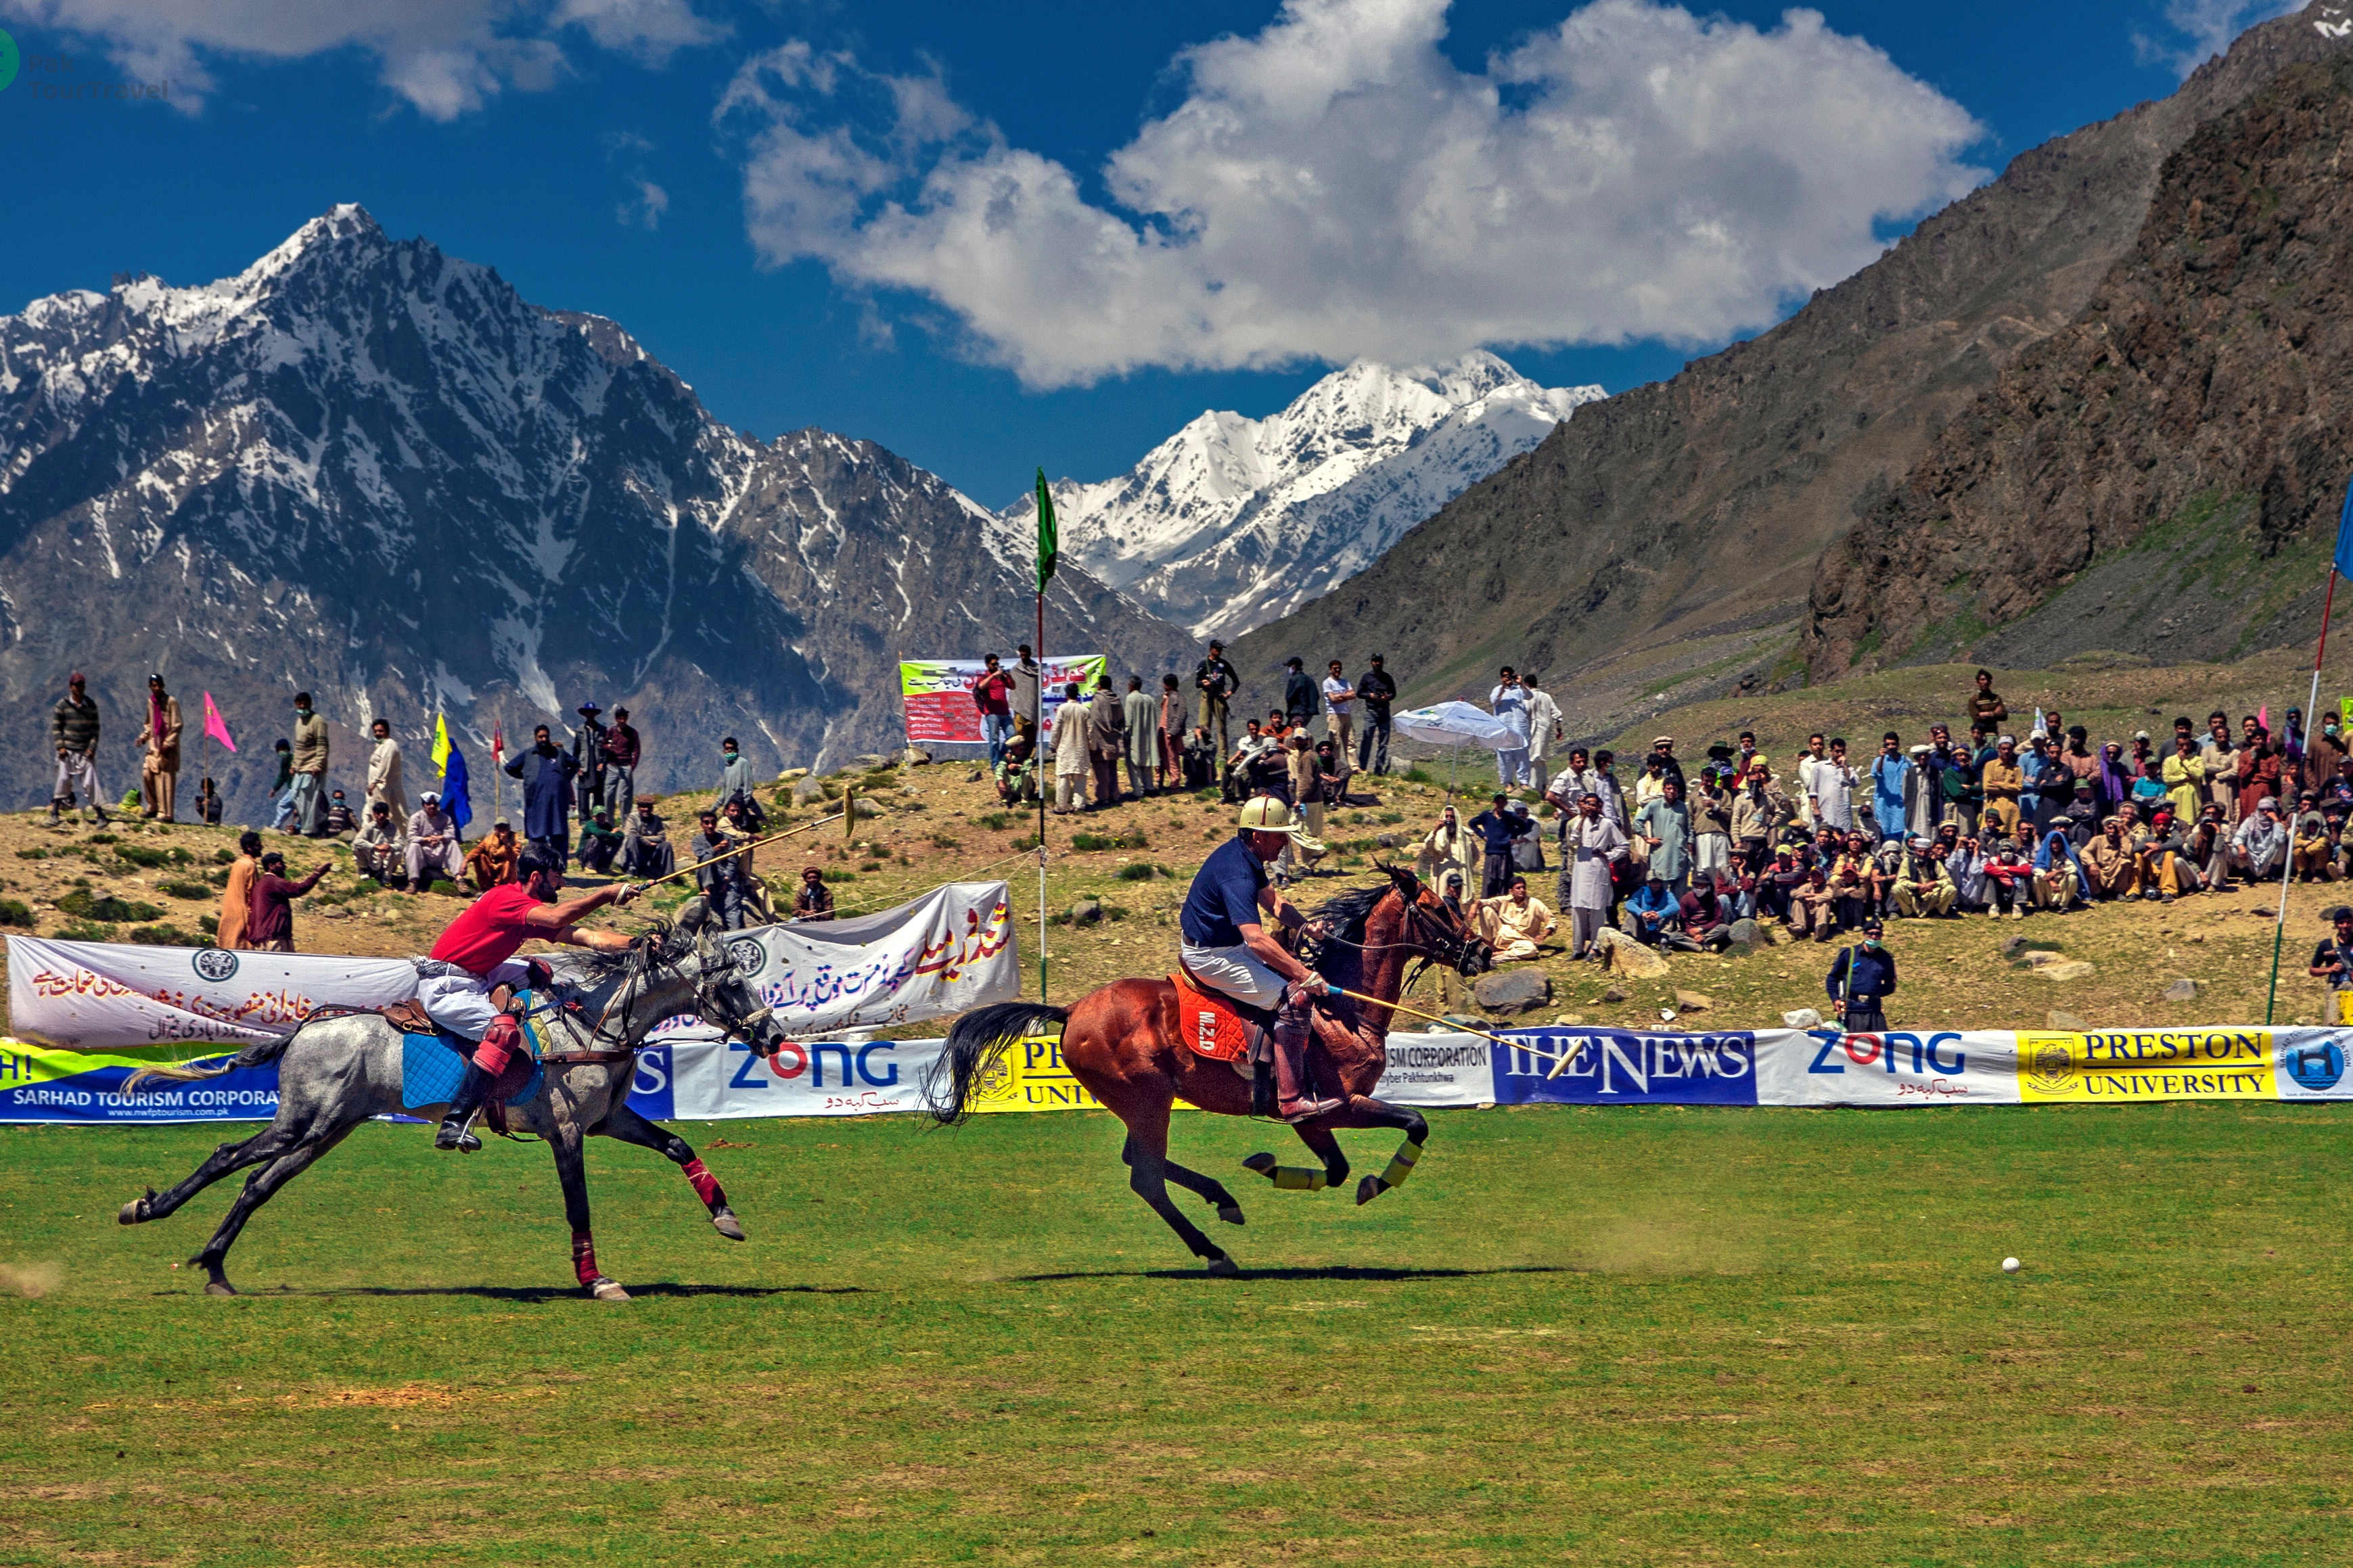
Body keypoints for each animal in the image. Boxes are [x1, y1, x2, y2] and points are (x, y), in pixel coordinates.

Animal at [114, 904, 790, 1290]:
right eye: (733, 983)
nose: (776, 1039)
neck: (594, 1025)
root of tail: (305, 1028)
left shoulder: (612, 1120)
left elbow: (677, 1145)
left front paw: (726, 1217)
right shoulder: (568, 1132)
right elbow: (579, 1208)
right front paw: (597, 1281)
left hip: (329, 1129)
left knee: (260, 1183)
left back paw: (215, 1266)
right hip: (303, 1119)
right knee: (228, 1156)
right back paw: (149, 1211)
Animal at [922, 861, 1487, 1281]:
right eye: (1440, 908)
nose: (1482, 952)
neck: (1341, 1010)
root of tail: (1072, 1009)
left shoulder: (1313, 1119)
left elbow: (1338, 1169)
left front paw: (1268, 1166)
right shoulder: (1329, 1106)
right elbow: (1414, 1123)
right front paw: (1378, 1182)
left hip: (1141, 1101)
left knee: (1138, 1160)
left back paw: (1223, 1200)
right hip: (1146, 1097)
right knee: (1146, 1177)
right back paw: (1214, 1251)